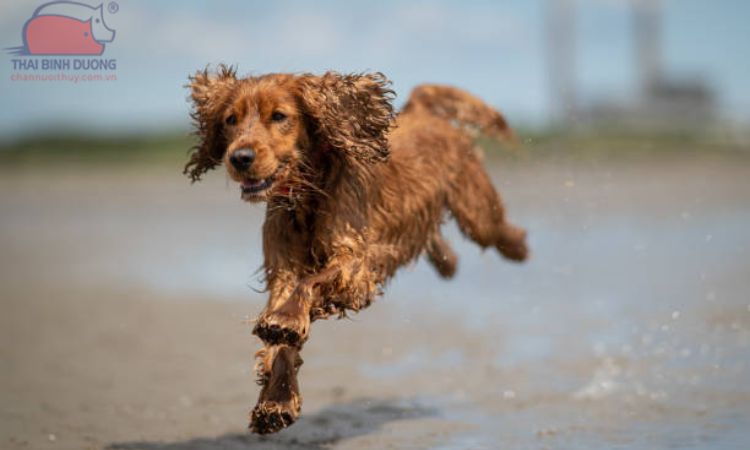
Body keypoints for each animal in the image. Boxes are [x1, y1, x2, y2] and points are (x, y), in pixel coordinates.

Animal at [187, 67, 528, 436]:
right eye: (230, 119)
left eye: (279, 116)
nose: (239, 158)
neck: (308, 195)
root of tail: (421, 110)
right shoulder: (283, 271)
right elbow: (281, 345)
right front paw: (276, 402)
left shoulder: (355, 266)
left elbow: (309, 285)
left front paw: (286, 321)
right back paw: (447, 262)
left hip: (476, 209)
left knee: (498, 229)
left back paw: (518, 247)